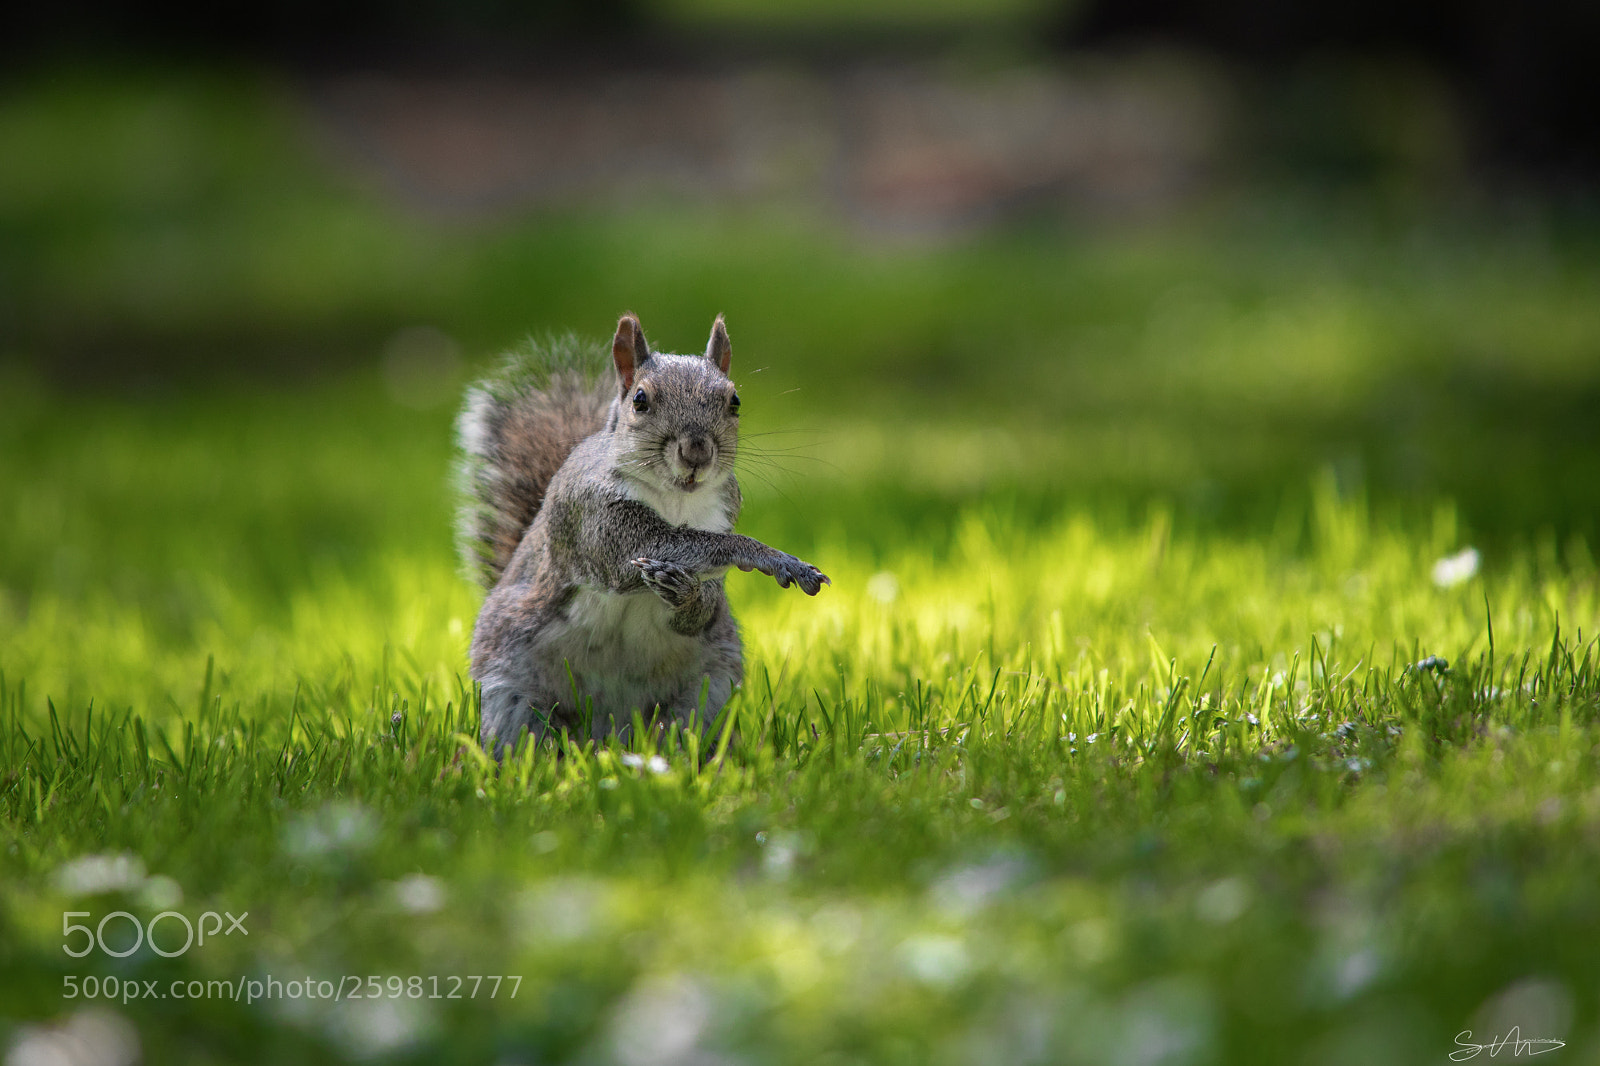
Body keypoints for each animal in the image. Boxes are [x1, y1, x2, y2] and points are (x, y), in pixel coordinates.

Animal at [456, 313, 829, 753]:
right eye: (640, 400)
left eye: (734, 401)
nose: (696, 452)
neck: (675, 498)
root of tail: (608, 732)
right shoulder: (599, 521)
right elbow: (680, 545)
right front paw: (776, 559)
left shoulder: (722, 515)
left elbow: (701, 607)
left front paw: (685, 592)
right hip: (511, 690)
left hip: (706, 693)